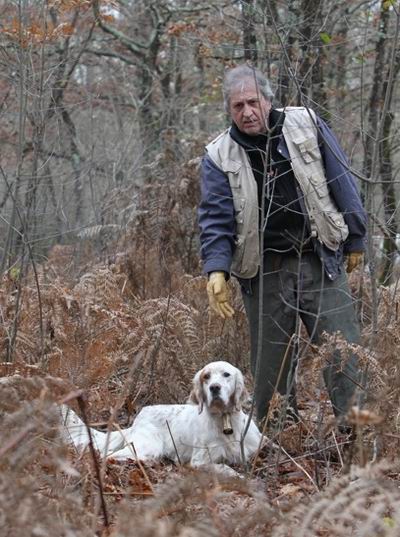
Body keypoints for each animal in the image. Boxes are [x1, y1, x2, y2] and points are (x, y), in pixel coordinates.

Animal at [58, 360, 260, 464]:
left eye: (226, 374)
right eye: (206, 377)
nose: (214, 388)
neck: (225, 419)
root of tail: (139, 417)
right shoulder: (200, 463)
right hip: (146, 446)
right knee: (109, 456)